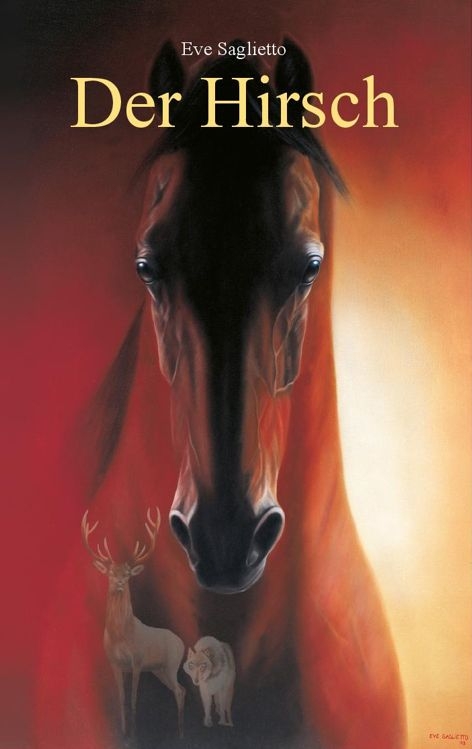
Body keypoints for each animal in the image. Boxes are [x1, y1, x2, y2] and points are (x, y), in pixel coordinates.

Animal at [81, 508, 186, 738]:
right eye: (111, 572)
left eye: (127, 573)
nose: (120, 582)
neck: (122, 635)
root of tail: (182, 643)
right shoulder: (115, 663)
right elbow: (121, 698)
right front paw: (124, 732)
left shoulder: (137, 660)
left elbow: (133, 698)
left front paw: (135, 733)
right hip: (159, 670)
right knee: (181, 690)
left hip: (171, 664)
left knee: (180, 690)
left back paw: (181, 732)